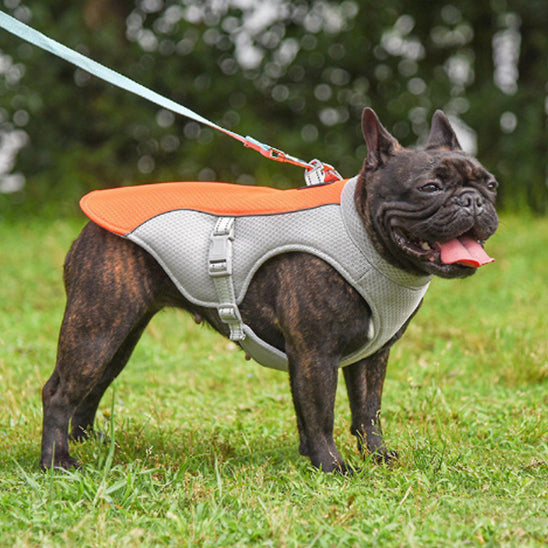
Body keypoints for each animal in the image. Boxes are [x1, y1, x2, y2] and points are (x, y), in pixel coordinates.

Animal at [40, 109, 498, 474]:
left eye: (491, 185)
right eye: (430, 188)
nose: (474, 201)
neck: (362, 235)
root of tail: (91, 218)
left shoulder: (371, 356)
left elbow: (367, 411)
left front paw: (376, 457)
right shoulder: (316, 354)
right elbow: (321, 413)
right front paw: (332, 466)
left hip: (120, 333)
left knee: (95, 384)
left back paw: (86, 442)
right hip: (98, 328)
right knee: (59, 391)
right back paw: (57, 462)